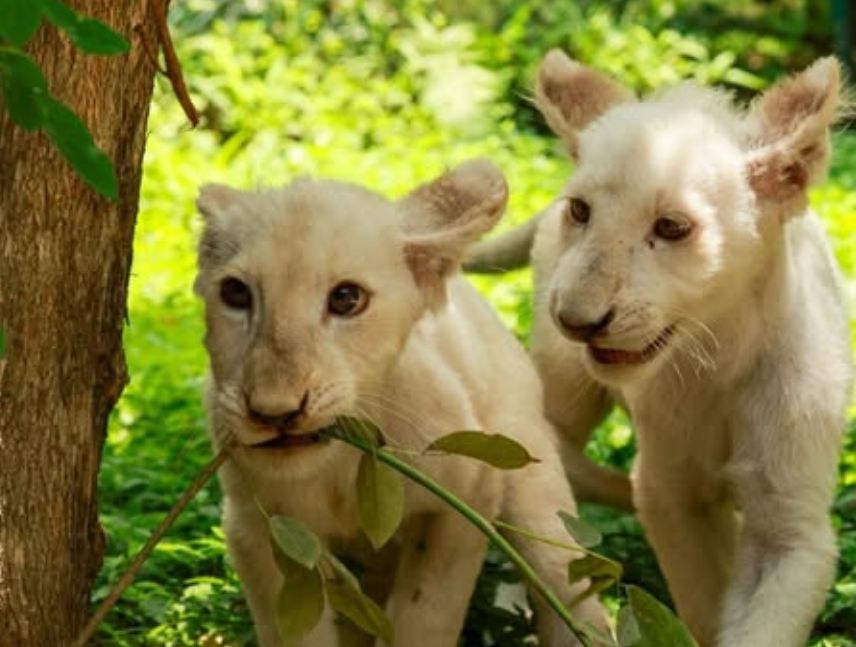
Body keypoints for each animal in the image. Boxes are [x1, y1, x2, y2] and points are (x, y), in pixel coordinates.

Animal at [193, 160, 608, 646]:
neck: (342, 465)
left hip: (529, 481)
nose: (274, 411)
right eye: (236, 294)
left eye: (346, 298)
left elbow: (425, 614)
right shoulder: (261, 529)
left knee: (565, 578)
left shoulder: (469, 495)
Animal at [467, 52, 853, 647]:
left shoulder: (791, 525)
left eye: (672, 227)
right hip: (558, 395)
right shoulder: (670, 490)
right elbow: (700, 600)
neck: (720, 357)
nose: (575, 320)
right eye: (581, 211)